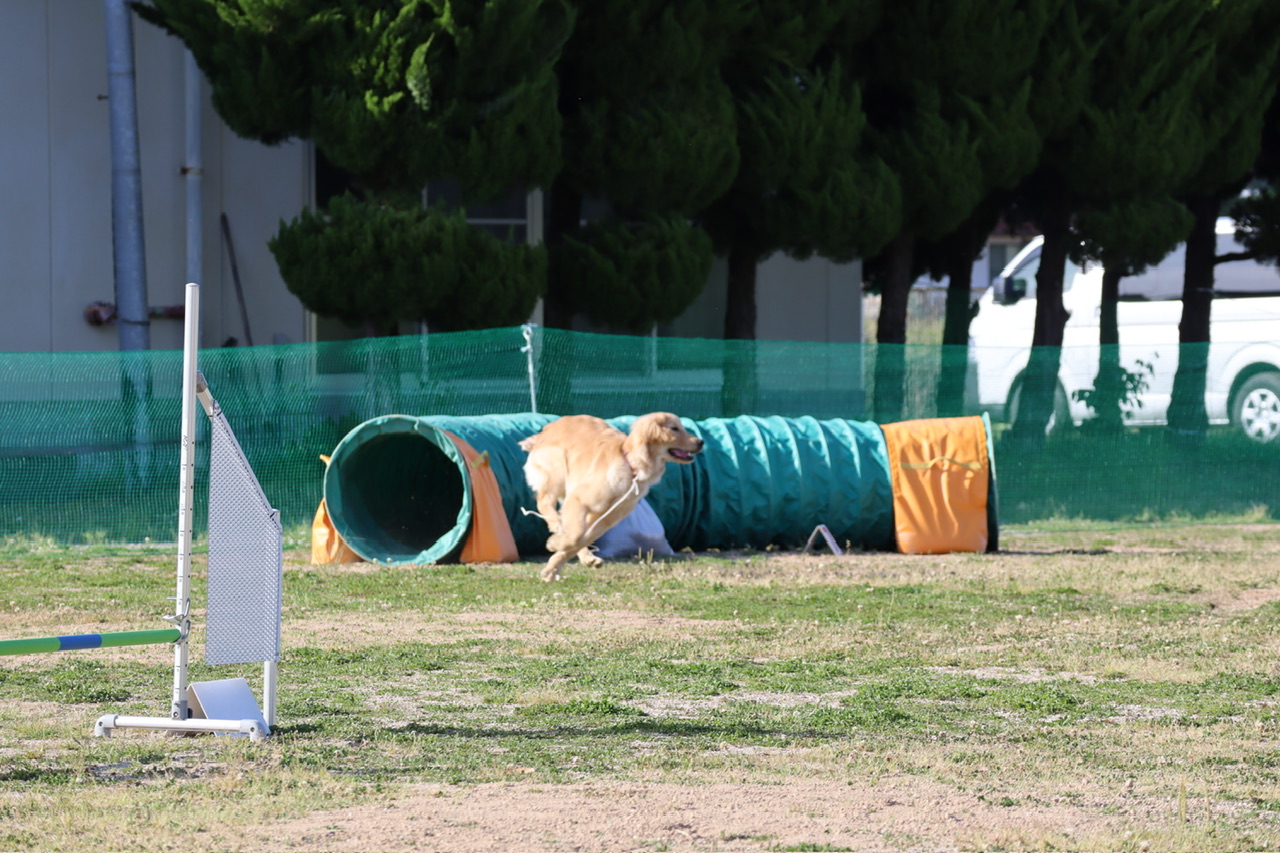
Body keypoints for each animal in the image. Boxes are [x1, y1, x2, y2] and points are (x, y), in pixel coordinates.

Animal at [514, 409, 706, 578]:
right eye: (674, 428)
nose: (701, 442)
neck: (631, 465)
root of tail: (544, 431)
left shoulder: (605, 518)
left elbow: (580, 538)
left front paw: (553, 568)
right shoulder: (579, 499)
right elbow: (575, 535)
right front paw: (555, 545)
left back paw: (586, 557)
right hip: (557, 473)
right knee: (544, 504)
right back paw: (557, 529)